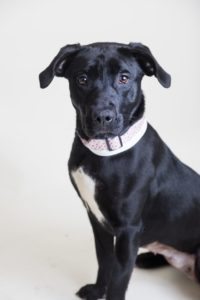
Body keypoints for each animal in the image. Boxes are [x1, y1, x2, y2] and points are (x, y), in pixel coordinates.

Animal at [39, 42, 200, 300]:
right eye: (82, 78)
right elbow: (105, 262)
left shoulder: (128, 230)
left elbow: (119, 279)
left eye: (124, 78)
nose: (103, 117)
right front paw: (97, 291)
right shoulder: (97, 220)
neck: (103, 153)